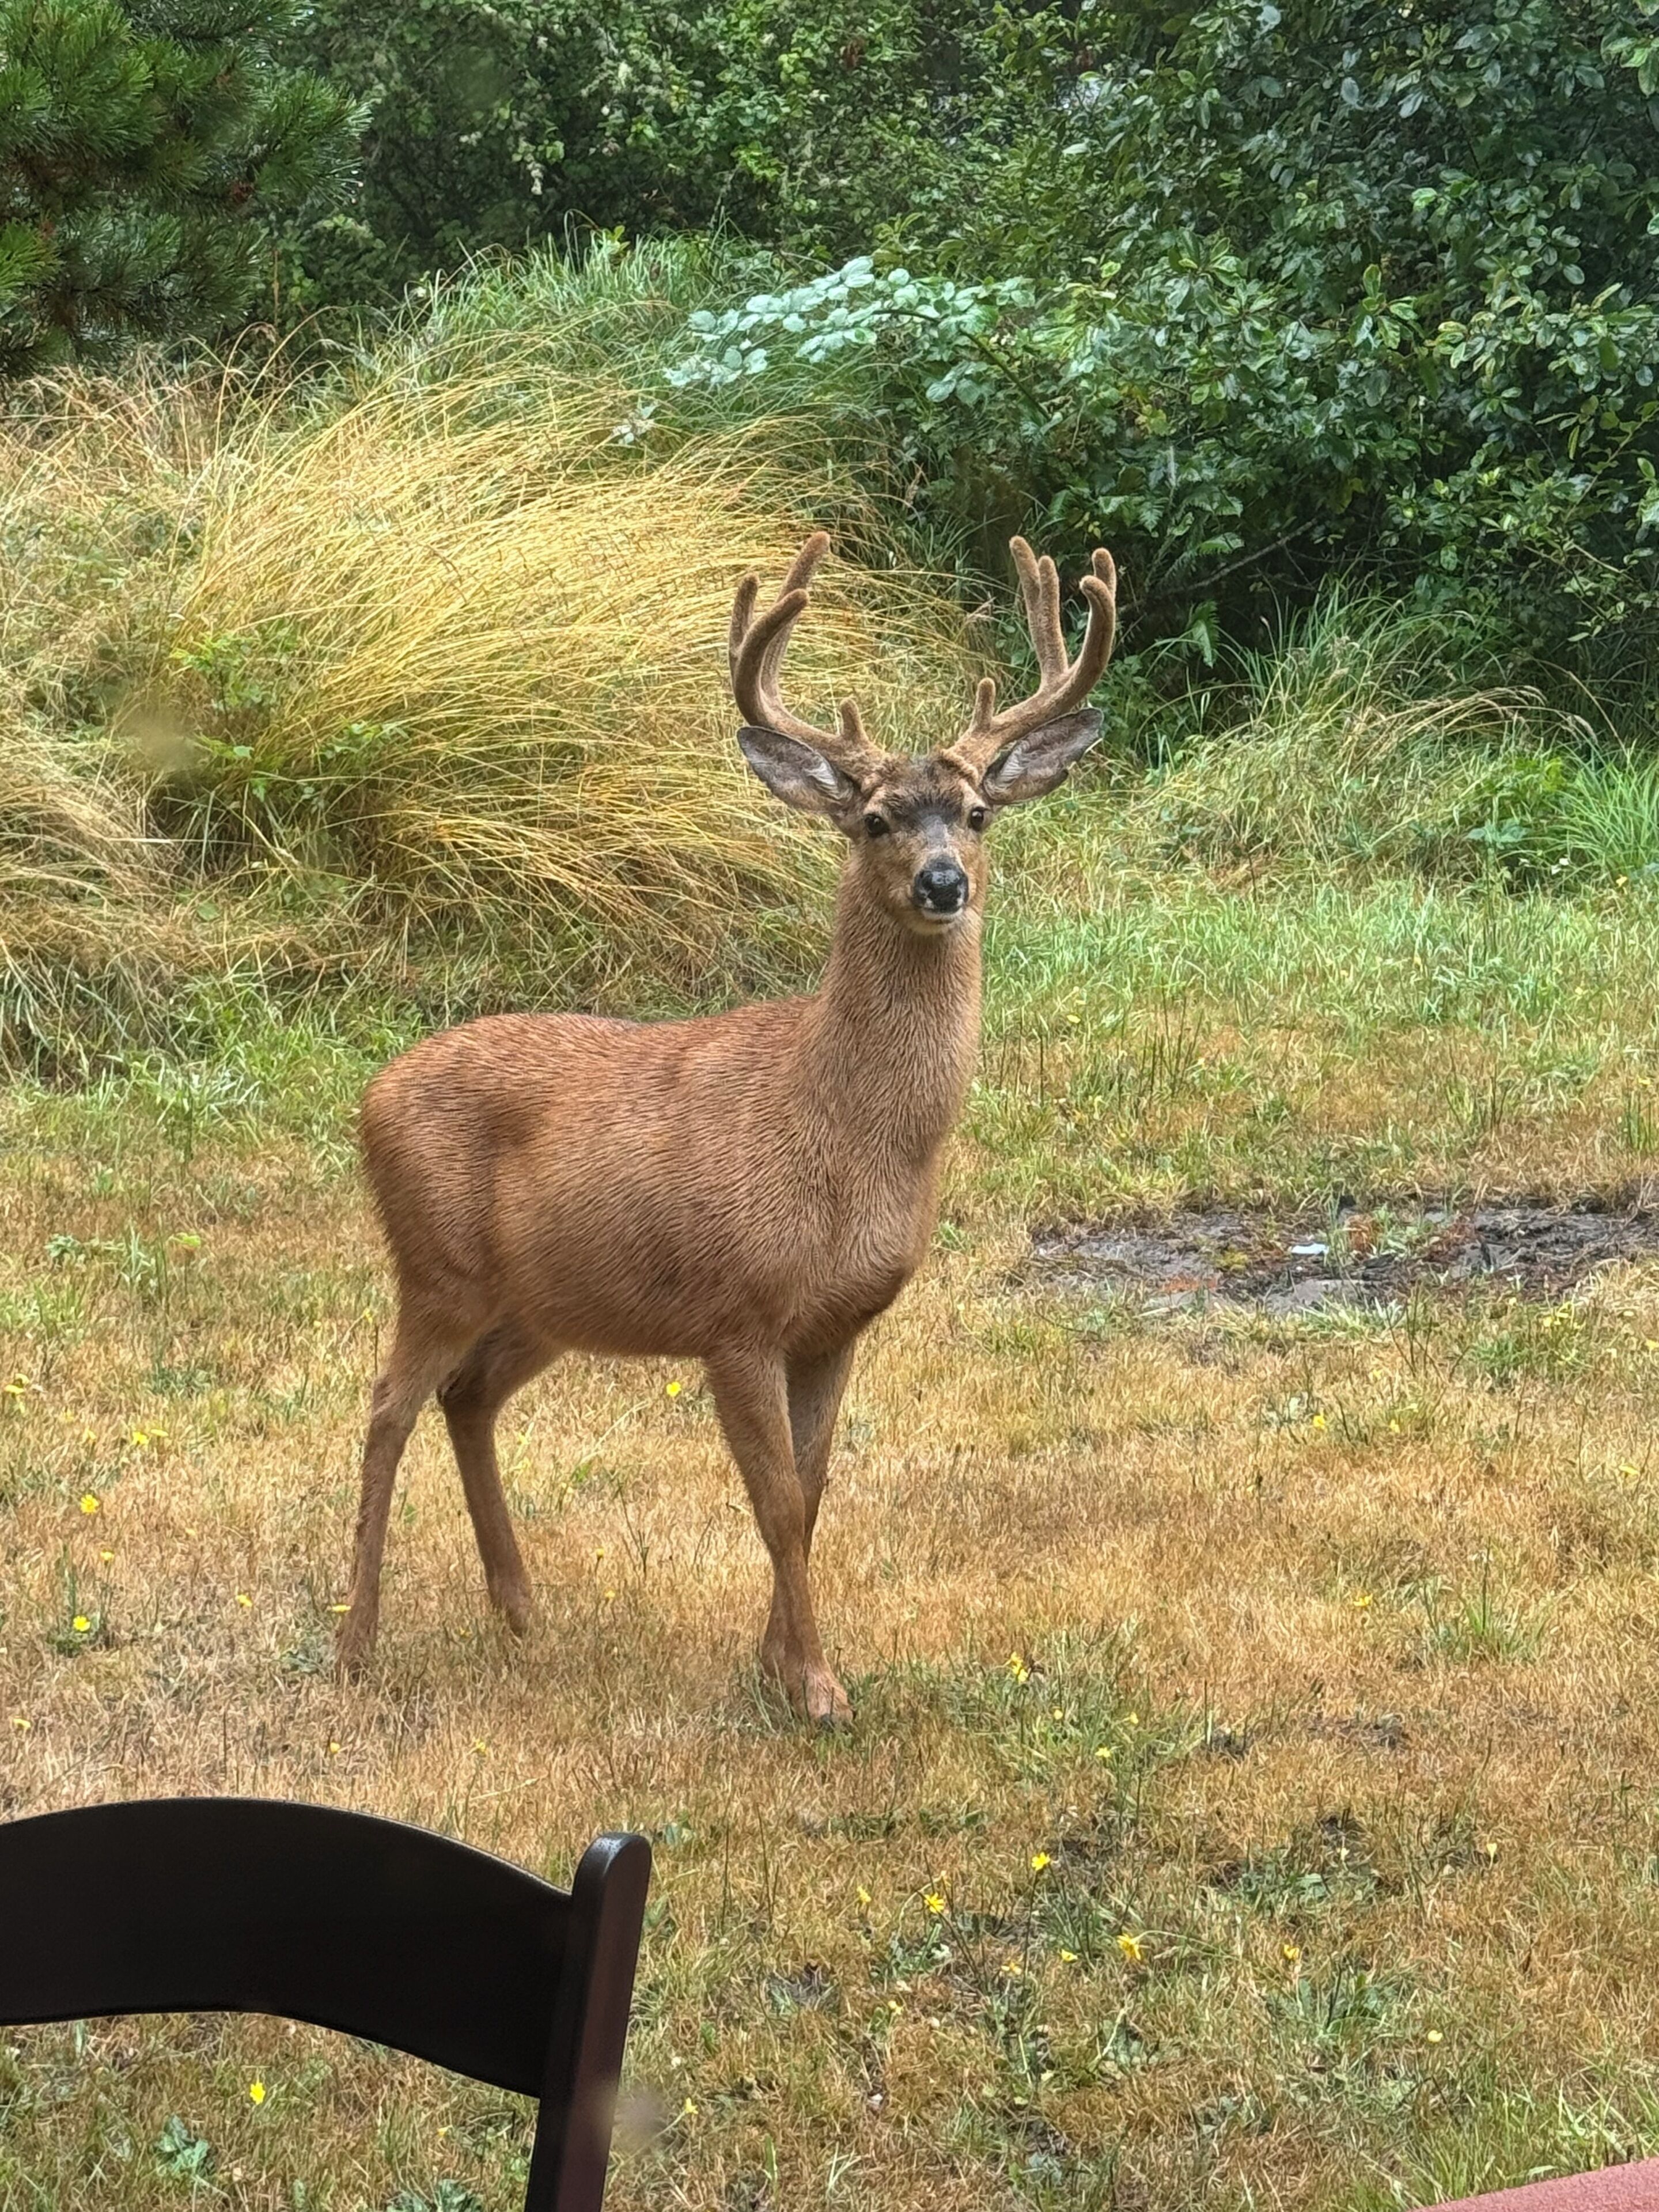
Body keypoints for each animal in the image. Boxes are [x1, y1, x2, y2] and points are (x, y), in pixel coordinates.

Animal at [337, 532, 1118, 1725]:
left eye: (979, 813)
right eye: (875, 820)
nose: (944, 883)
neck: (841, 1130)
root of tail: (369, 1098)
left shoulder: (838, 1324)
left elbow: (816, 1489)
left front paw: (779, 1668)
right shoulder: (737, 1313)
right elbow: (781, 1503)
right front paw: (818, 1689)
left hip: (546, 1302)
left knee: (467, 1399)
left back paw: (520, 1611)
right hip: (435, 1266)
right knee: (385, 1410)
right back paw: (357, 1647)